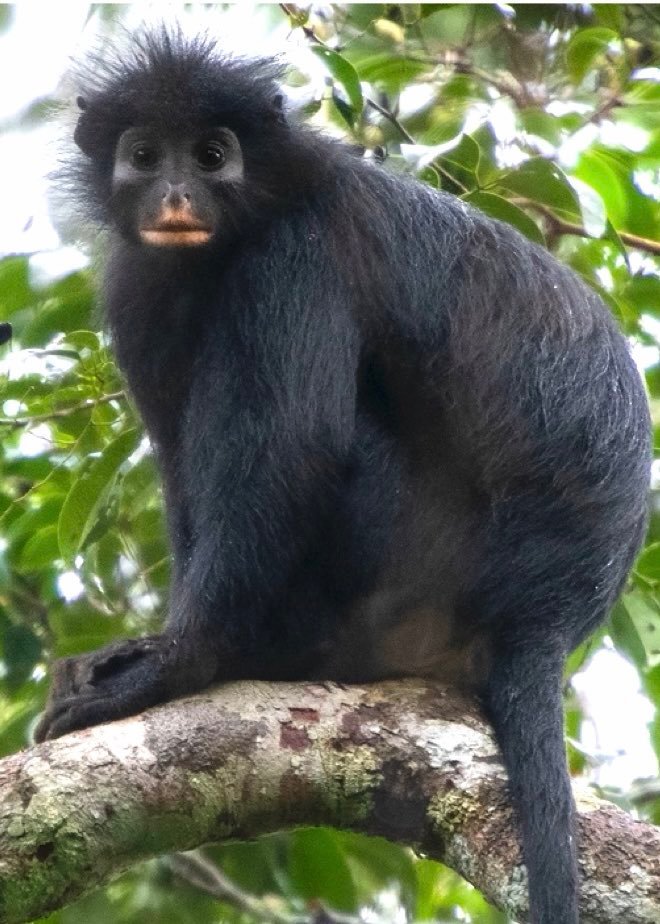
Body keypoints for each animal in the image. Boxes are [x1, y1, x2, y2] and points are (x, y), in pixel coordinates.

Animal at [34, 30, 650, 924]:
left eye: (212, 155)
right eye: (145, 156)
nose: (178, 193)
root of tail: (548, 614)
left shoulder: (296, 253)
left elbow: (297, 448)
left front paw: (180, 663)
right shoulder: (137, 288)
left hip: (408, 564)